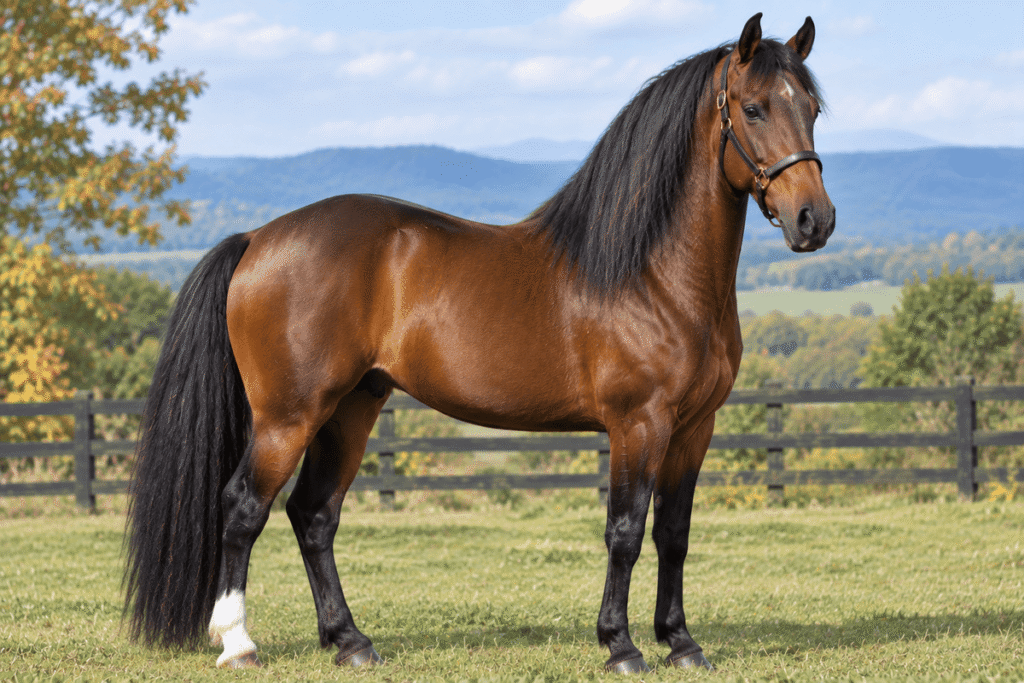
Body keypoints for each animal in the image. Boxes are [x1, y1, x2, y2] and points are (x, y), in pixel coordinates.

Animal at [123, 13, 833, 674]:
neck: (652, 274)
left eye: (813, 108)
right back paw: (238, 643)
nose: (814, 221)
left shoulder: (694, 427)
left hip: (352, 407)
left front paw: (681, 643)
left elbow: (674, 533)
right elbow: (626, 531)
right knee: (245, 508)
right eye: (752, 107)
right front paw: (621, 646)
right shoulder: (639, 423)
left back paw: (351, 642)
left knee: (314, 514)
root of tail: (256, 239)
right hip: (288, 416)